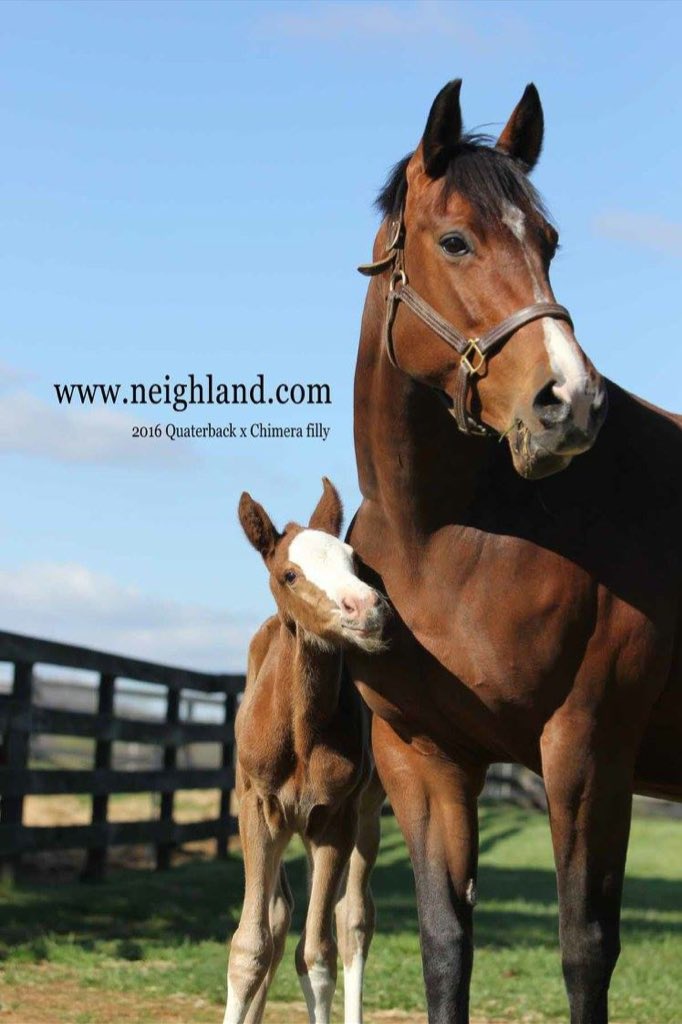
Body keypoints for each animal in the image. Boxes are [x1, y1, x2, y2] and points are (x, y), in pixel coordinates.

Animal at [225, 478, 388, 1024]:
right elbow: (250, 946)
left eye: (355, 561)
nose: (367, 608)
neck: (301, 733)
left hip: (366, 814)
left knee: (352, 918)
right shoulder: (257, 809)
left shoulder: (334, 819)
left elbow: (317, 957)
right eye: (289, 574)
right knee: (280, 918)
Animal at [346, 79, 682, 1024]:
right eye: (455, 240)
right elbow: (445, 944)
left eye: (550, 243)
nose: (569, 402)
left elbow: (585, 948)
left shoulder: (586, 749)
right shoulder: (422, 758)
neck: (442, 540)